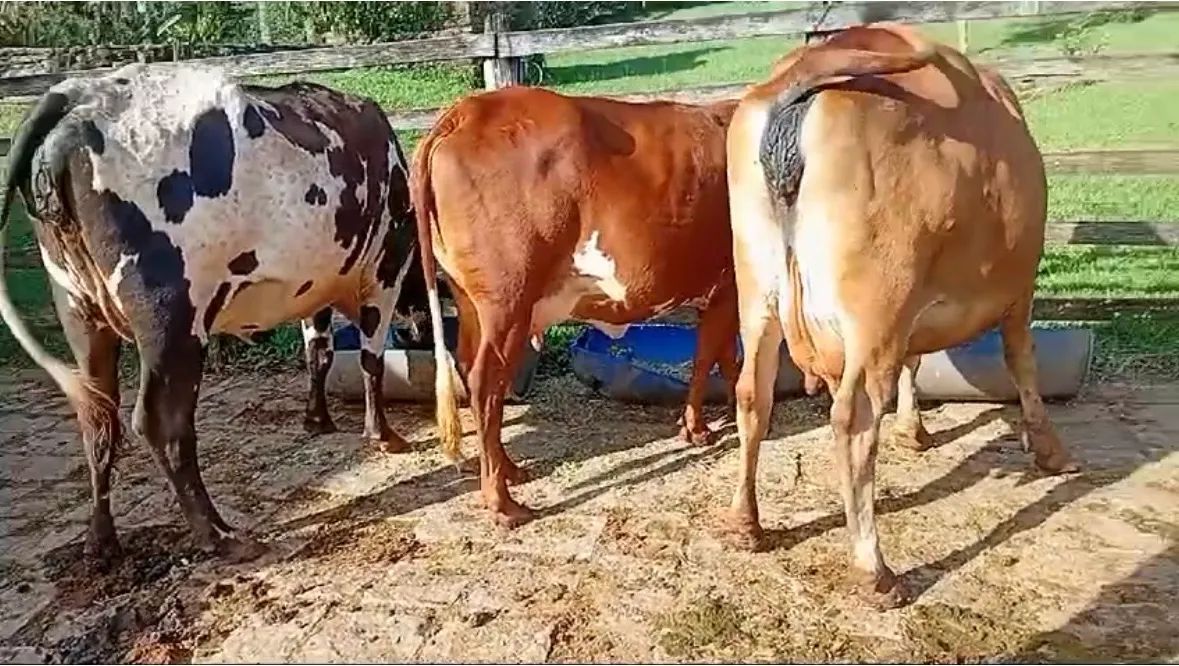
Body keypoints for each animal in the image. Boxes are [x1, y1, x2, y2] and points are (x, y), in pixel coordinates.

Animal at [0, 63, 426, 564]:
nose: (418, 331)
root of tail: (78, 94)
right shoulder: (383, 270)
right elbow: (371, 361)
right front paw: (383, 434)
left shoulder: (314, 286)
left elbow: (317, 353)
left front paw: (317, 418)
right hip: (173, 318)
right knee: (162, 424)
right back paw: (219, 534)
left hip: (79, 310)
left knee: (98, 420)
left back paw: (101, 541)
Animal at [411, 87, 741, 527]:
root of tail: (466, 110)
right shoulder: (731, 285)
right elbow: (714, 357)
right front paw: (705, 426)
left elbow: (714, 354)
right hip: (508, 302)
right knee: (485, 384)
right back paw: (502, 502)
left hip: (471, 301)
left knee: (469, 367)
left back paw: (509, 469)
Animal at [723, 23, 1078, 608]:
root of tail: (799, 81)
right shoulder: (1017, 286)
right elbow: (1021, 361)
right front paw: (1049, 449)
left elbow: (917, 361)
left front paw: (914, 429)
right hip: (878, 305)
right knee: (854, 418)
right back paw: (874, 570)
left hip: (758, 293)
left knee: (753, 393)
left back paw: (744, 525)